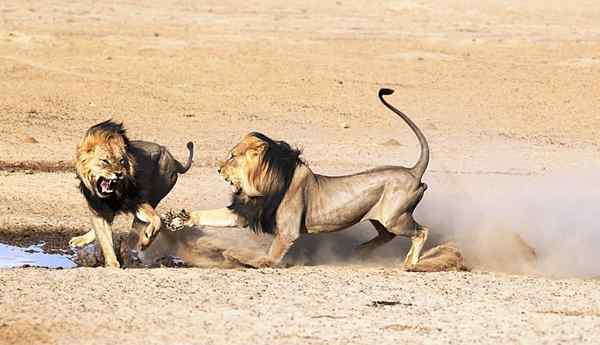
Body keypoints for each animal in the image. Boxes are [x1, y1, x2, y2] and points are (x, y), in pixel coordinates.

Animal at [70, 119, 193, 268]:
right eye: (104, 161)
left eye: (121, 161)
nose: (118, 174)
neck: (113, 195)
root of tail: (173, 159)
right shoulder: (98, 209)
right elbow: (105, 240)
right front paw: (112, 263)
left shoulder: (136, 201)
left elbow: (156, 219)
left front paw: (145, 241)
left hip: (154, 195)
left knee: (138, 226)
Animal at [166, 87, 428, 268]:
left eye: (232, 156)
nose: (218, 169)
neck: (262, 185)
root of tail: (413, 171)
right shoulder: (245, 211)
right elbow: (212, 216)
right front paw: (181, 218)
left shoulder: (287, 231)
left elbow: (273, 253)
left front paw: (257, 261)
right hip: (383, 219)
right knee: (386, 236)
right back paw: (360, 251)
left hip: (395, 218)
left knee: (421, 231)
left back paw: (411, 263)